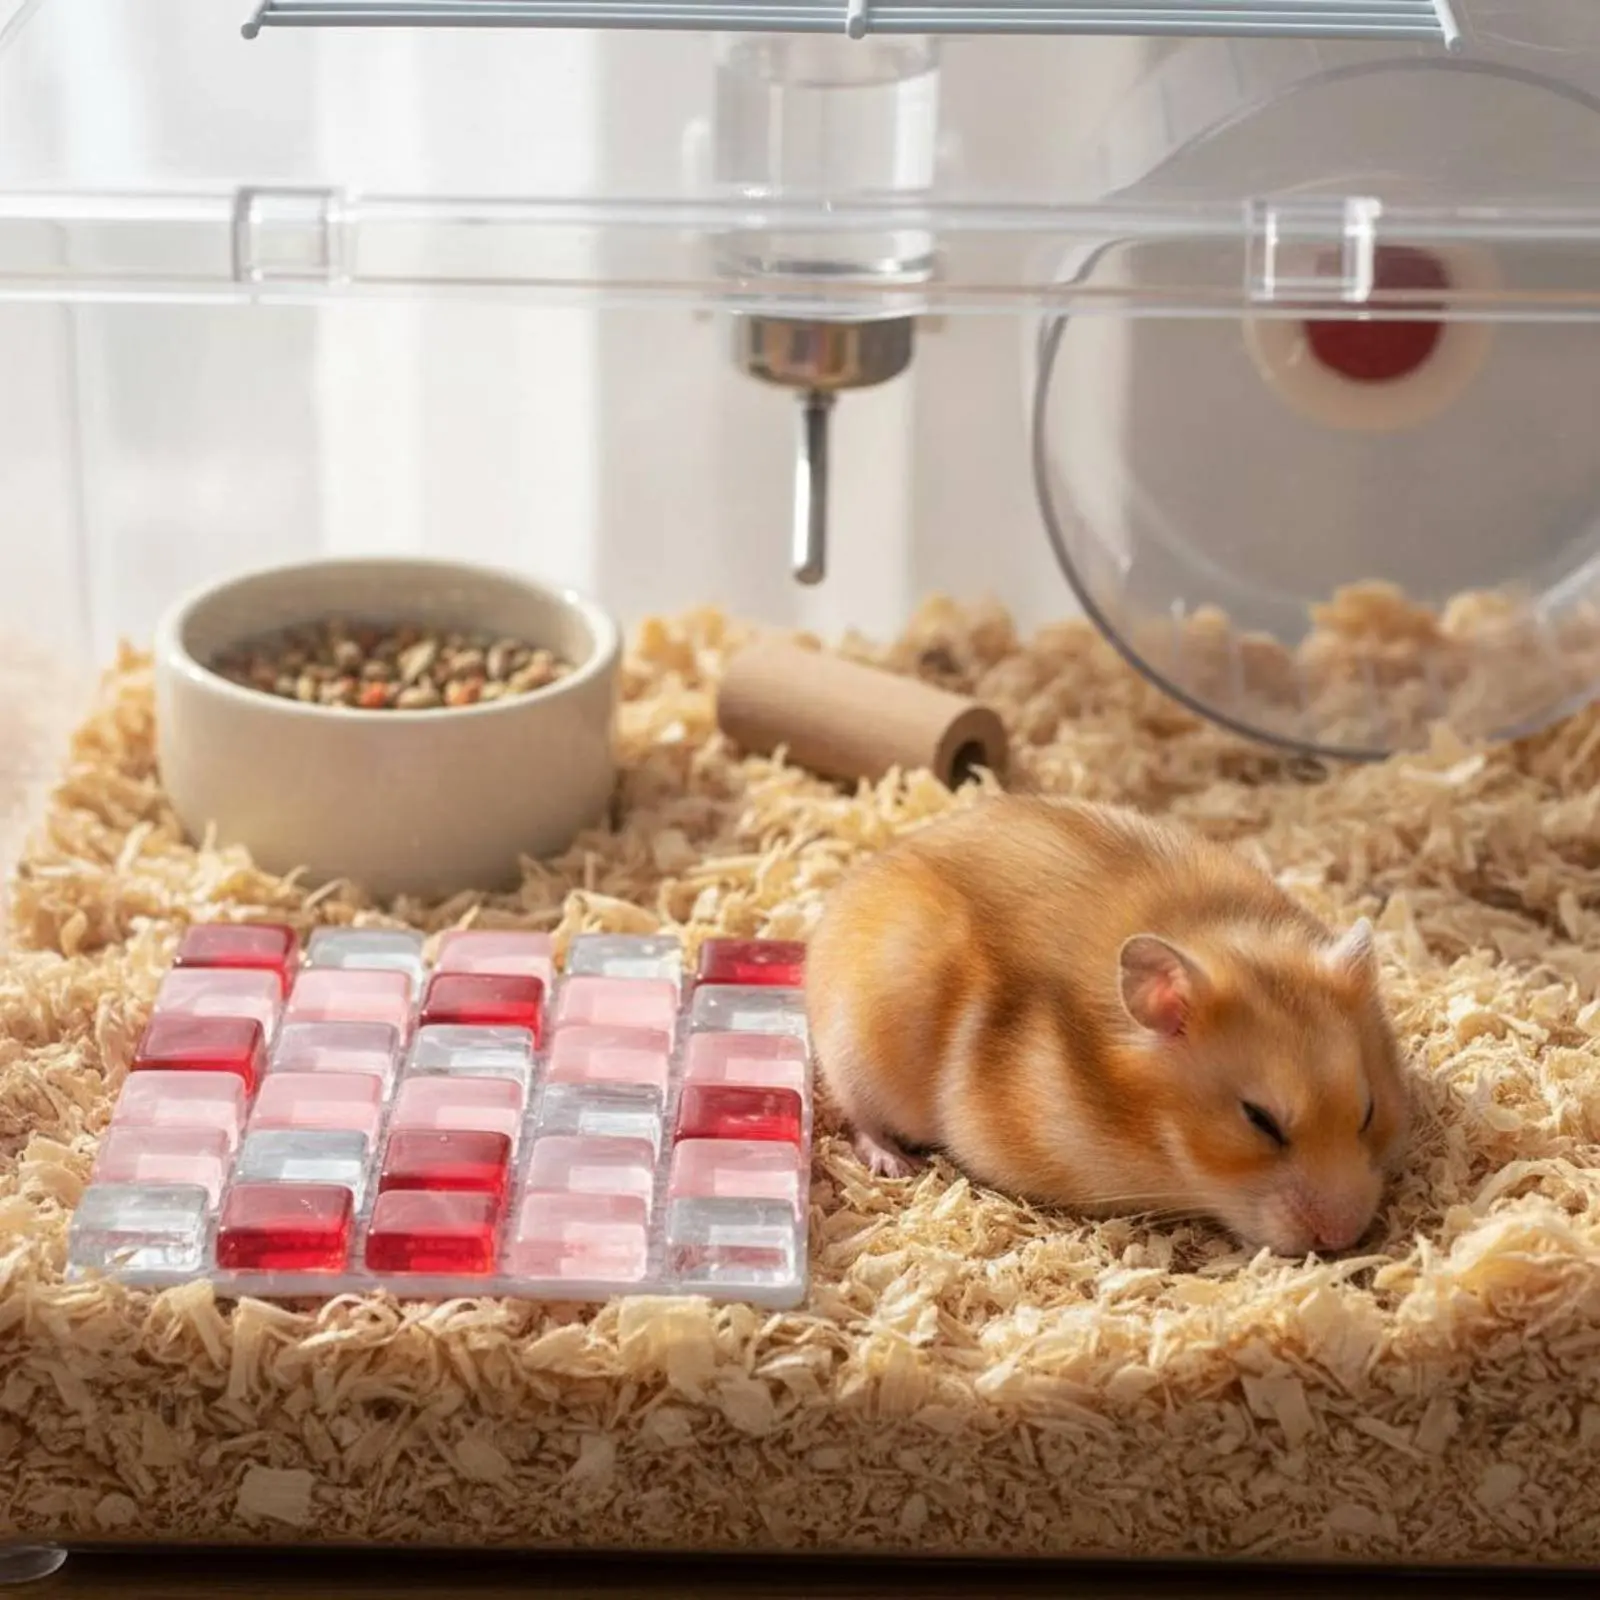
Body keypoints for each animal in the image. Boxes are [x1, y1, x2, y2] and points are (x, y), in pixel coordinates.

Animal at [805, 795, 1410, 1256]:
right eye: (1259, 1121)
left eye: (1368, 1112)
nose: (1342, 1238)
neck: (1149, 1128)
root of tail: (849, 888)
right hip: (858, 1046)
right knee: (860, 1115)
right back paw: (896, 1164)